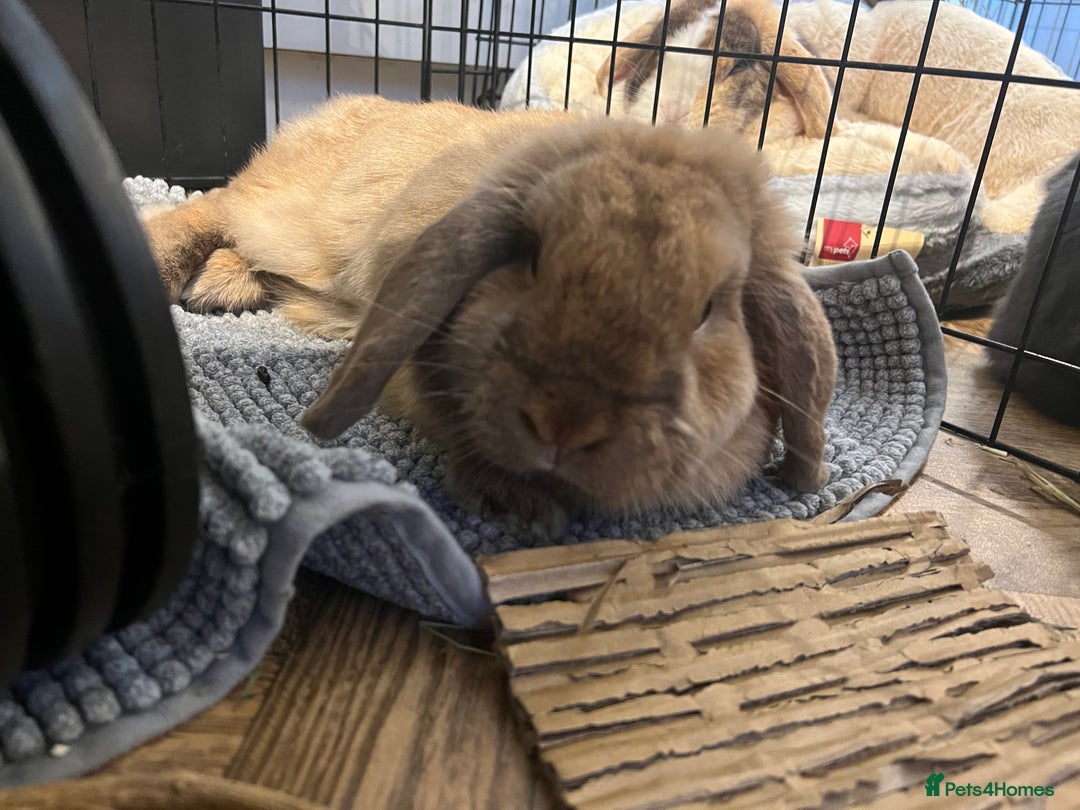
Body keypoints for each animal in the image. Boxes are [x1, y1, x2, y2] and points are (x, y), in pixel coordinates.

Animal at [141, 95, 837, 527]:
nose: (565, 425)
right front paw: (518, 507)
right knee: (213, 205)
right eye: (532, 260)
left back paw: (226, 284)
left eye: (706, 311)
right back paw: (182, 275)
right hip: (285, 214)